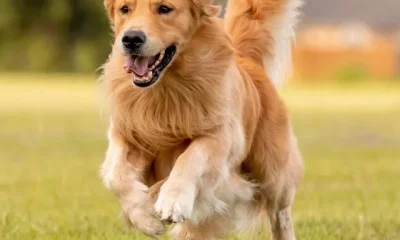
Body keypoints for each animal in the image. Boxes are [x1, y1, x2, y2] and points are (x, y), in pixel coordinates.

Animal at [100, 0, 304, 238]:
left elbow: (190, 158)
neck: (165, 89)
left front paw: (173, 198)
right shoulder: (126, 134)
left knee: (281, 213)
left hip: (272, 173)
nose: (131, 39)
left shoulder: (222, 135)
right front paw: (145, 216)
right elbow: (116, 176)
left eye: (164, 9)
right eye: (124, 9)